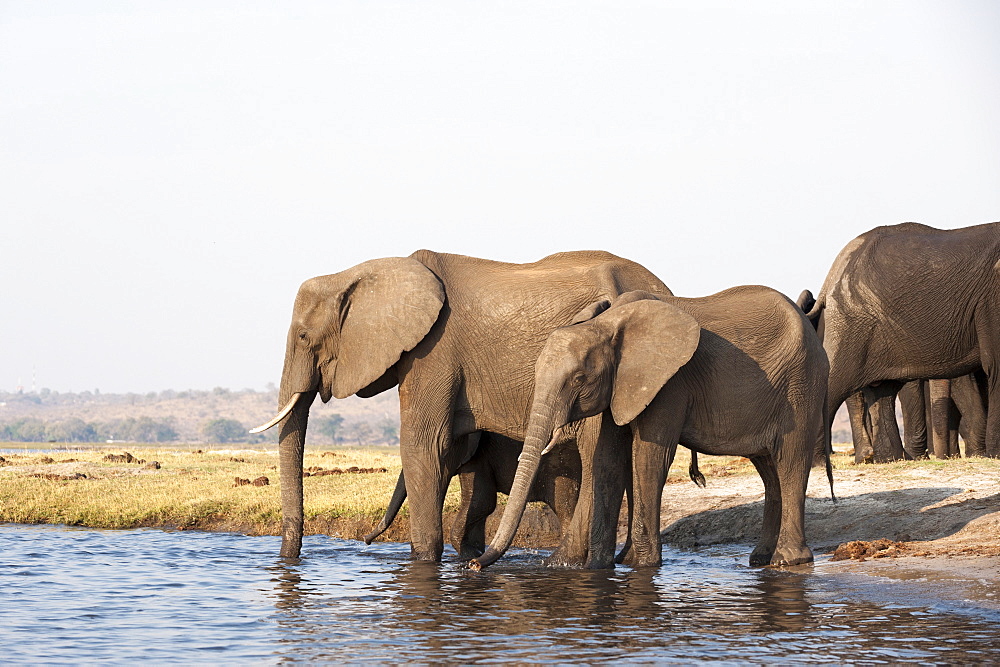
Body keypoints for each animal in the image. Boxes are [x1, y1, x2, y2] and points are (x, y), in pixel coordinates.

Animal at [250, 249, 672, 560]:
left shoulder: (432, 351)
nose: (367, 542)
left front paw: (424, 560)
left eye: (303, 337)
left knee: (597, 456)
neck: (364, 273)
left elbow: (422, 446)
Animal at [472, 290, 832, 572]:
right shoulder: (619, 384)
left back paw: (788, 561)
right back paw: (760, 559)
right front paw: (598, 568)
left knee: (790, 462)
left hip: (801, 387)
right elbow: (607, 460)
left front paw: (640, 564)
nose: (473, 565)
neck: (607, 324)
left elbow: (649, 457)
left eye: (578, 379)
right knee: (768, 470)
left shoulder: (669, 382)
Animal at [804, 222, 1000, 456]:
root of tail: (831, 275)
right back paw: (818, 461)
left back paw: (892, 458)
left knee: (883, 391)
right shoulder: (991, 299)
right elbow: (997, 365)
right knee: (836, 383)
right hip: (852, 319)